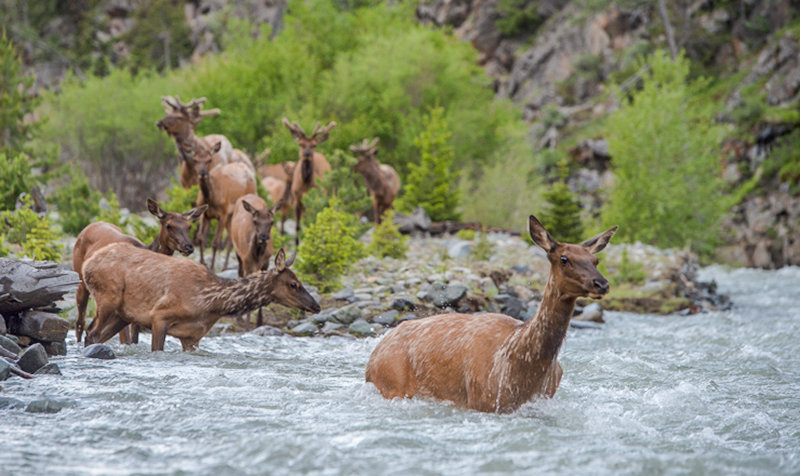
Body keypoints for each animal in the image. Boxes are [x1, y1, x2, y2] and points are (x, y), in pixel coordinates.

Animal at [73, 199, 208, 344]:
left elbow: (134, 338)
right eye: (168, 225)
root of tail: (88, 226)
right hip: (81, 279)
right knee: (80, 322)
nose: (188, 247)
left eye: (189, 226)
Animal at [81, 247, 318, 352]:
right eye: (293, 283)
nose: (316, 305)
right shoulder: (159, 316)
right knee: (91, 332)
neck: (211, 302)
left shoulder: (192, 336)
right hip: (107, 298)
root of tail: (86, 264)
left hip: (123, 314)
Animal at [364, 216, 620, 412]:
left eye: (595, 260)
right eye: (564, 259)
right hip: (391, 384)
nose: (601, 284)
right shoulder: (483, 400)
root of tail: (372, 359)